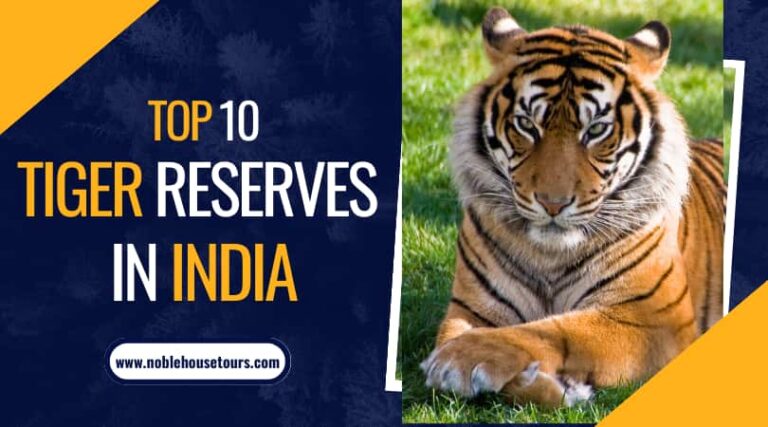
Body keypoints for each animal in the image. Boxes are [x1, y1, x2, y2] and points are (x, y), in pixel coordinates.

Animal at [420, 7, 725, 408]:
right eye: (526, 124)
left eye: (595, 130)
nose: (553, 203)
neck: (550, 255)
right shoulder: (471, 307)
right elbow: (454, 334)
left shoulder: (653, 320)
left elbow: (556, 329)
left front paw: (461, 359)